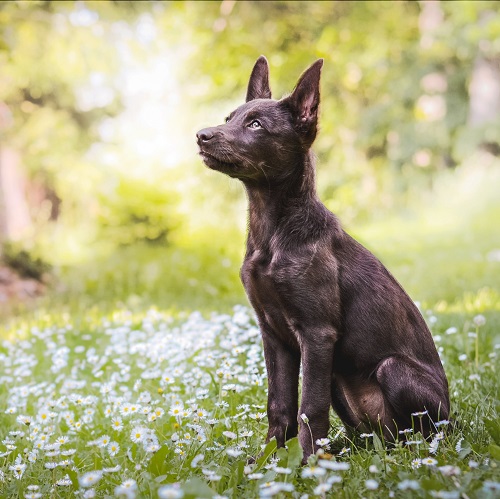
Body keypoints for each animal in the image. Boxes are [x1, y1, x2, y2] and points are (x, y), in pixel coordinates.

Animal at [197, 55, 452, 460]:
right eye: (229, 118)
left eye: (255, 125)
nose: (201, 135)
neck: (273, 231)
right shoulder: (273, 333)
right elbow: (279, 403)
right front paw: (268, 462)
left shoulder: (317, 333)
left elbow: (309, 408)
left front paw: (308, 466)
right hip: (341, 382)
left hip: (393, 371)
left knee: (425, 433)